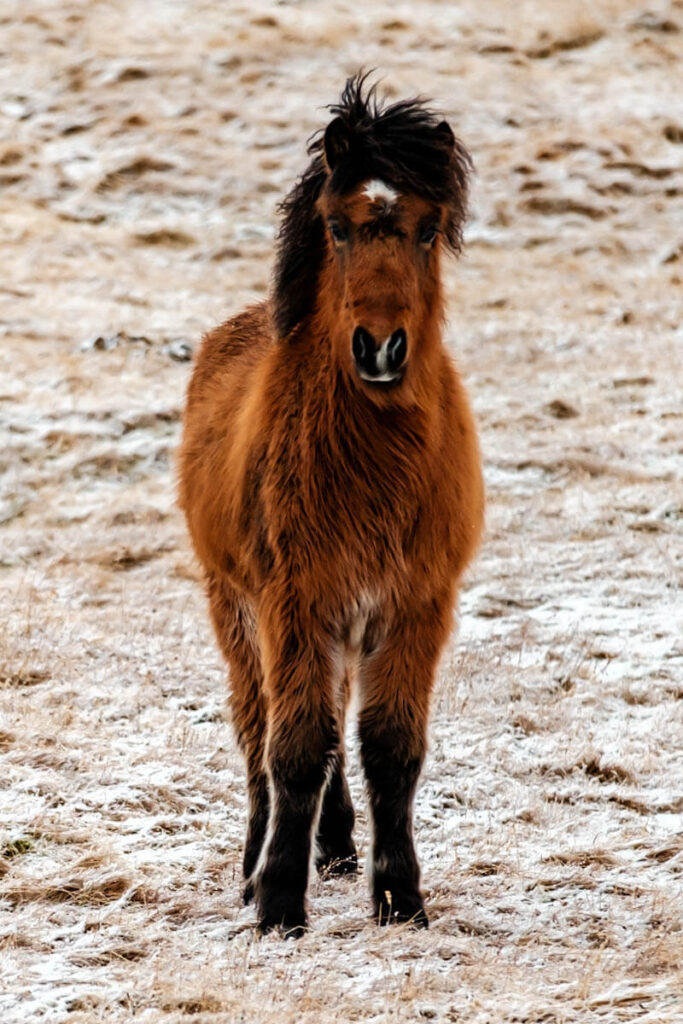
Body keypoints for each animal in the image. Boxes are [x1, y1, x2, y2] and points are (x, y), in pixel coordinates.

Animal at [179, 72, 483, 937]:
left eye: (425, 229)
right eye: (339, 228)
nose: (378, 349)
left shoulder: (415, 604)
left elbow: (389, 747)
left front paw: (399, 897)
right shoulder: (296, 599)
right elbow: (293, 748)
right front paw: (279, 902)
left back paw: (340, 848)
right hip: (237, 607)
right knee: (256, 729)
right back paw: (256, 862)